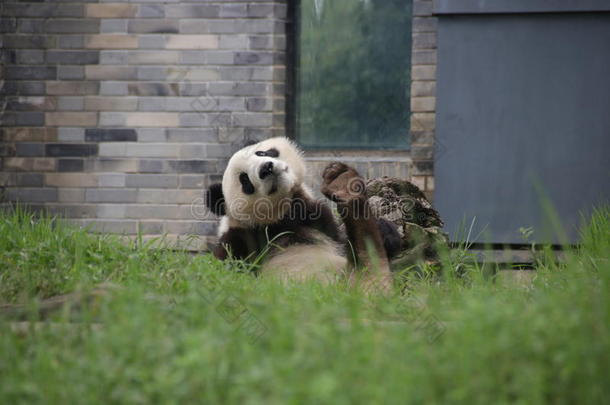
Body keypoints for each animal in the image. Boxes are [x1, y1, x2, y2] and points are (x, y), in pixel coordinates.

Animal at [207, 137, 402, 288]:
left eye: (262, 153)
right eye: (245, 180)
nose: (266, 168)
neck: (278, 217)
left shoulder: (317, 220)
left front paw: (386, 231)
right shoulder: (240, 238)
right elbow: (228, 273)